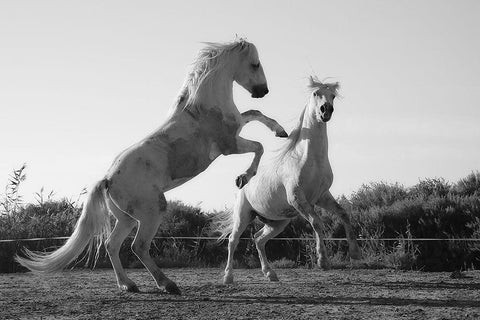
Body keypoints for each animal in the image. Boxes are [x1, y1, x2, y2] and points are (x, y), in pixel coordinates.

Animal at [15, 38, 288, 294]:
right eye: (255, 64)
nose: (263, 90)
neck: (203, 107)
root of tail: (107, 180)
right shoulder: (229, 145)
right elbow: (259, 145)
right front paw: (244, 177)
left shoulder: (237, 128)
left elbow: (255, 114)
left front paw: (281, 131)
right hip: (152, 211)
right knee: (138, 246)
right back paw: (167, 284)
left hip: (126, 219)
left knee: (112, 245)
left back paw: (128, 285)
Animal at [216, 76, 362, 284]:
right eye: (316, 93)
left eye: (333, 96)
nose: (326, 111)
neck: (309, 159)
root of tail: (242, 186)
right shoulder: (297, 198)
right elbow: (317, 222)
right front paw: (323, 261)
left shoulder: (322, 196)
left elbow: (343, 214)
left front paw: (355, 253)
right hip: (243, 215)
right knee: (232, 241)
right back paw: (228, 277)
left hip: (277, 222)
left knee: (259, 239)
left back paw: (270, 274)